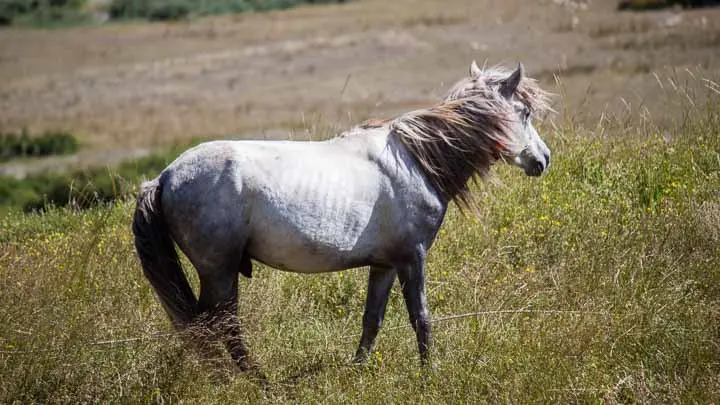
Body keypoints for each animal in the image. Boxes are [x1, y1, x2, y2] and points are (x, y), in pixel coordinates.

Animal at [132, 61, 551, 370]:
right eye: (525, 112)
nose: (543, 159)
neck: (417, 160)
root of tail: (165, 176)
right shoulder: (412, 258)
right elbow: (421, 317)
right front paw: (430, 373)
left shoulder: (385, 264)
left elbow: (372, 319)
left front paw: (358, 369)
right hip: (219, 271)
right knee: (218, 326)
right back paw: (252, 380)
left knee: (202, 326)